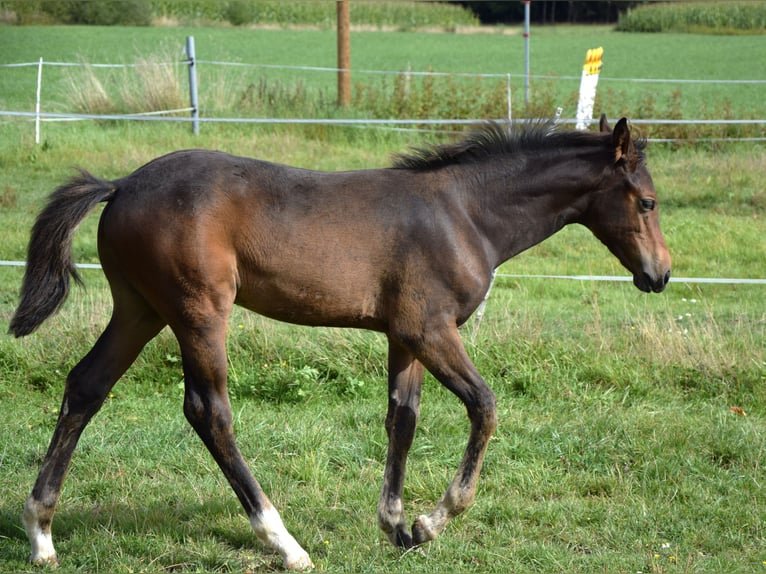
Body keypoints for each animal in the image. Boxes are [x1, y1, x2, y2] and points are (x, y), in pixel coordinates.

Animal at [9, 116, 670, 570]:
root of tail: (121, 185)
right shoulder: (432, 329)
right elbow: (484, 406)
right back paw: (284, 542)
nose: (660, 275)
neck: (465, 215)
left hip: (139, 309)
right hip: (198, 312)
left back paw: (41, 534)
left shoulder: (405, 336)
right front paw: (433, 520)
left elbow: (402, 420)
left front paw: (397, 526)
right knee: (208, 411)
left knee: (86, 386)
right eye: (648, 200)